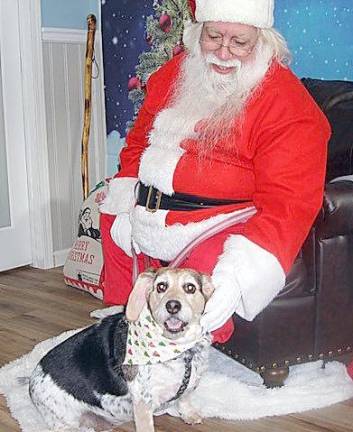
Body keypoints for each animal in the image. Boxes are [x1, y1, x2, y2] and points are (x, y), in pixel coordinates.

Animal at [28, 268, 213, 430]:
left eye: (190, 287)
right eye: (161, 286)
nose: (172, 306)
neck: (183, 351)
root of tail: (32, 381)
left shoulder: (190, 385)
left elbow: (185, 398)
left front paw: (189, 415)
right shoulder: (143, 404)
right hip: (65, 421)